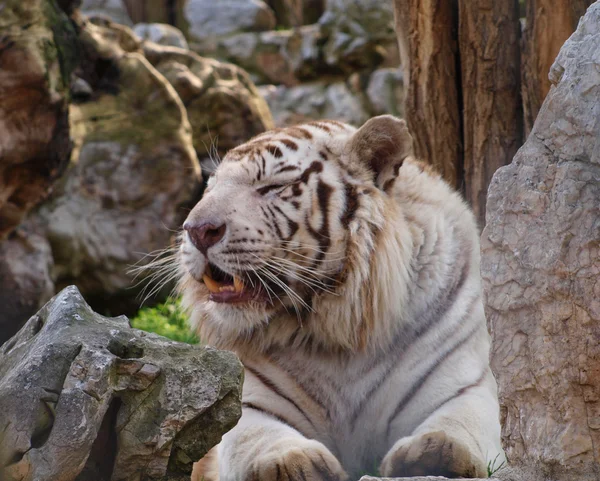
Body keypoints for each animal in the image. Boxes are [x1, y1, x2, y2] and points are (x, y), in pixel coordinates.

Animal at [179, 116, 506, 480]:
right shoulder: (248, 400)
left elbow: (461, 422)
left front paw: (435, 452)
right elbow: (255, 436)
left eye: (274, 186)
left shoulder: (466, 384)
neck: (339, 329)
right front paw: (292, 462)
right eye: (211, 187)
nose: (197, 230)